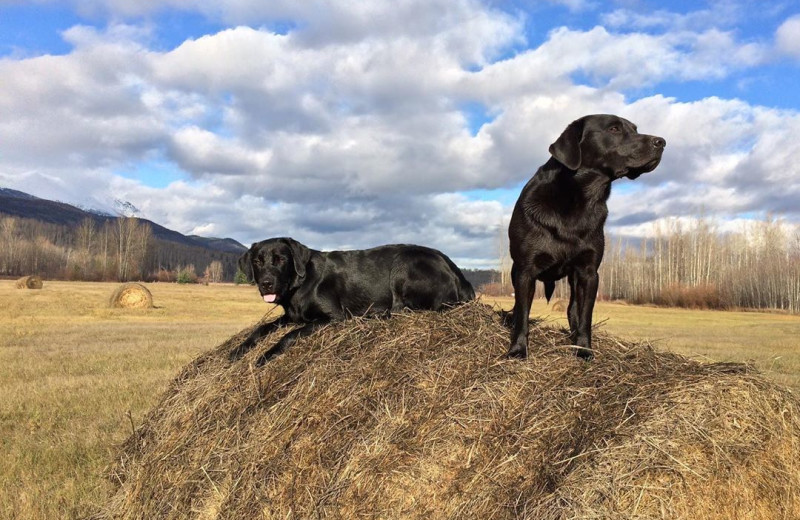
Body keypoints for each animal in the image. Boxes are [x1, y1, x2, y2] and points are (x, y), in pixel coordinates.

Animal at [231, 238, 476, 364]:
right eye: (257, 261)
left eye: (281, 259)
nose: (266, 283)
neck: (300, 284)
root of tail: (459, 275)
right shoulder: (291, 317)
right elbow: (262, 328)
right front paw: (239, 349)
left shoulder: (333, 318)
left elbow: (290, 336)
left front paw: (267, 355)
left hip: (403, 263)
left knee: (400, 310)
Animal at [510, 114, 664, 360]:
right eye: (614, 128)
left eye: (635, 129)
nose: (662, 142)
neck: (580, 197)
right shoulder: (525, 270)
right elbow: (523, 313)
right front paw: (517, 349)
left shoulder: (589, 272)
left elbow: (585, 316)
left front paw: (583, 349)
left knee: (572, 308)